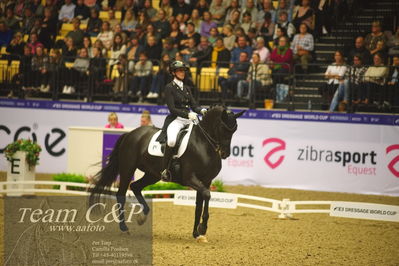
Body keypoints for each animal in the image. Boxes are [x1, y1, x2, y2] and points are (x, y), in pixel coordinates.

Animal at [90, 106, 245, 241]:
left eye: (235, 129)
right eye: (223, 128)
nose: (225, 154)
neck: (203, 144)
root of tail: (130, 134)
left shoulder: (206, 181)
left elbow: (199, 206)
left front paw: (197, 234)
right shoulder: (190, 178)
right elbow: (207, 195)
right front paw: (202, 229)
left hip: (152, 174)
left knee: (135, 187)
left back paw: (142, 217)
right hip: (128, 169)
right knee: (121, 194)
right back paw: (124, 228)